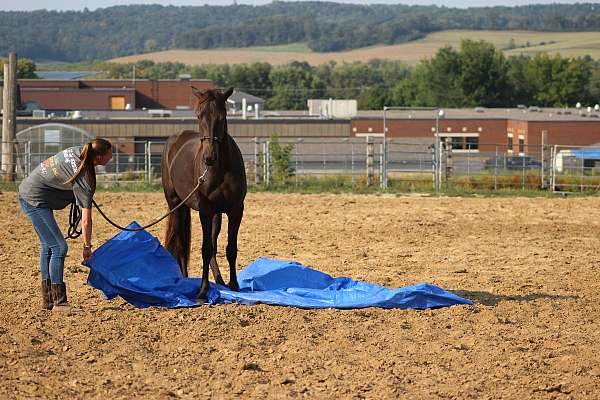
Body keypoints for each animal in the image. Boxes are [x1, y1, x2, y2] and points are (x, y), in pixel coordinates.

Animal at [161, 86, 247, 300]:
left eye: (222, 116)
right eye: (199, 115)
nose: (209, 157)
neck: (220, 169)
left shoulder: (235, 210)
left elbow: (229, 248)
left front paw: (234, 286)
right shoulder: (205, 210)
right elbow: (205, 249)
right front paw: (202, 290)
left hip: (216, 214)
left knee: (214, 246)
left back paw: (220, 281)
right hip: (175, 204)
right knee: (182, 244)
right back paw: (185, 280)